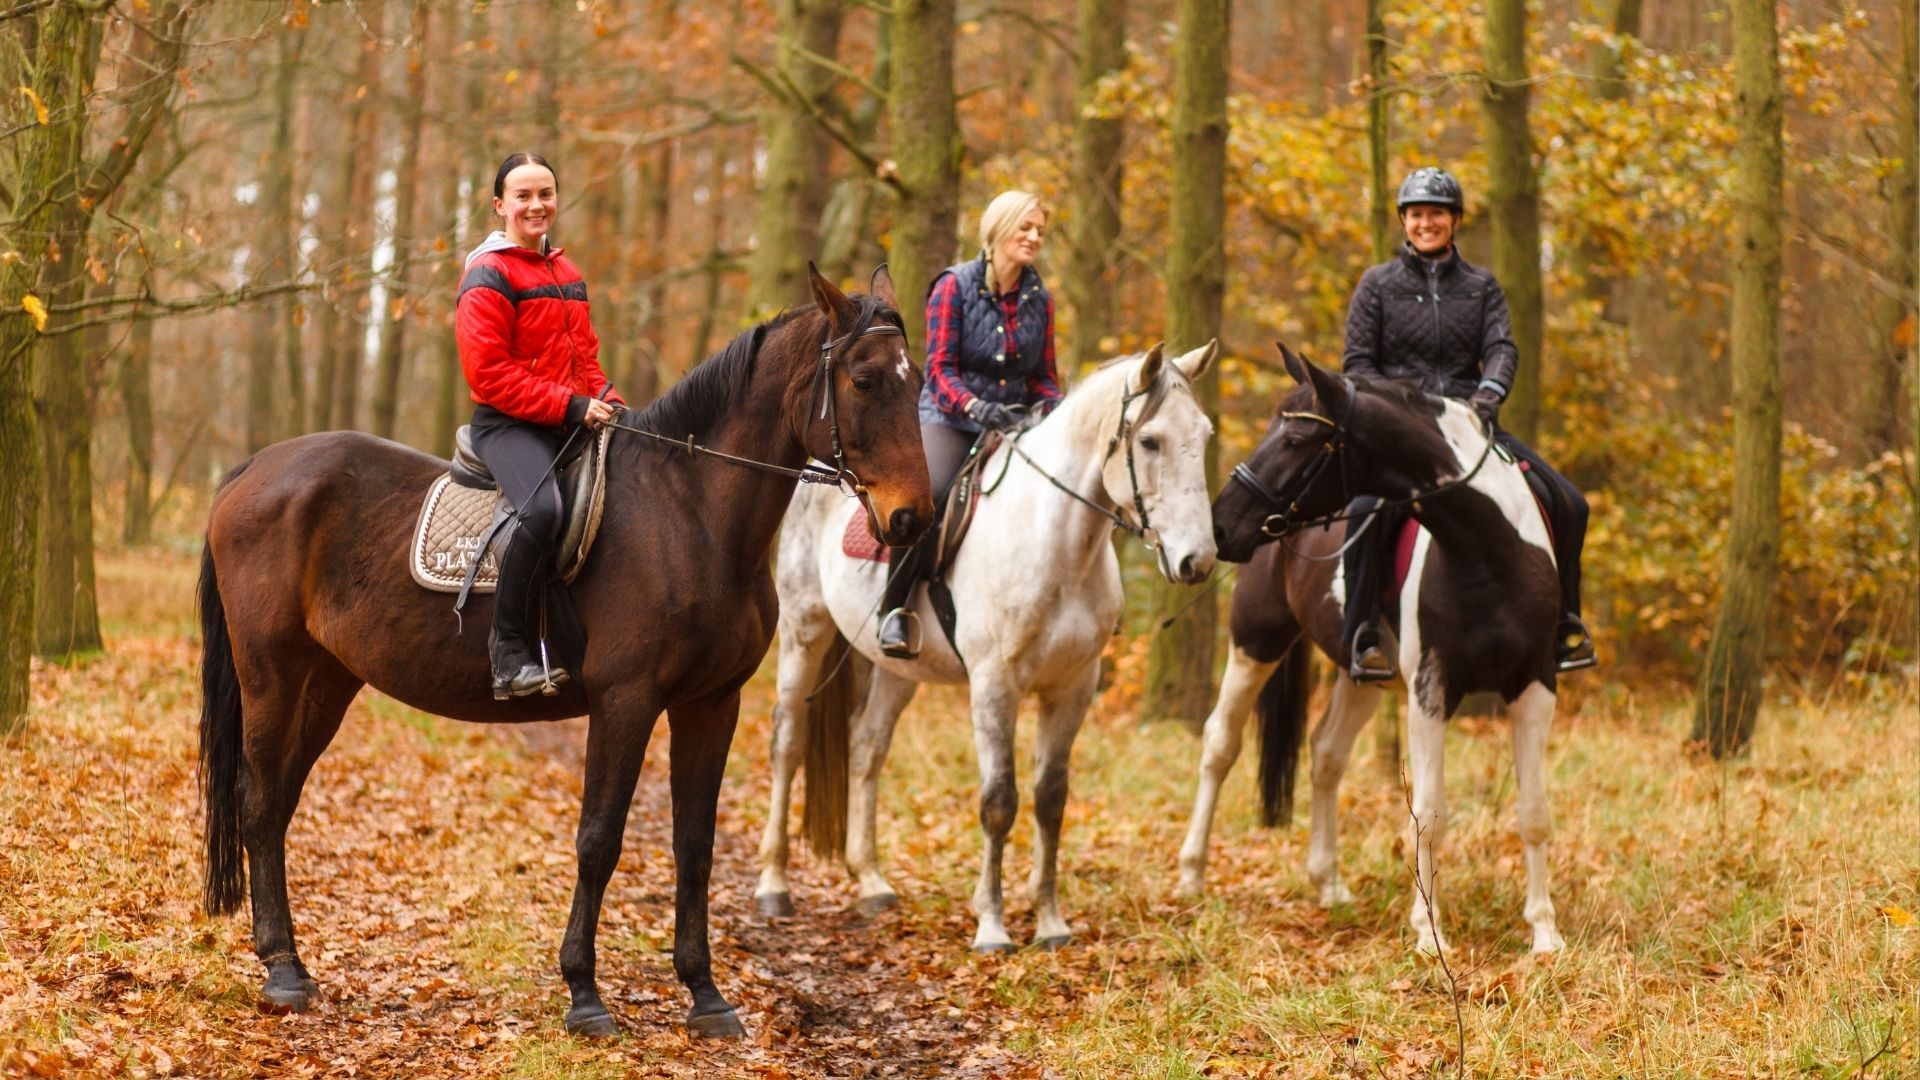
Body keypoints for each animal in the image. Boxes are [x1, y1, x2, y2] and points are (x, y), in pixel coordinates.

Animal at [197, 266, 934, 1039]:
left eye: (917, 382)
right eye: (863, 380)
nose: (912, 518)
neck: (692, 515)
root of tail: (253, 468)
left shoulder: (711, 705)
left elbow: (694, 846)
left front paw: (705, 995)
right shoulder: (626, 701)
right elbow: (598, 839)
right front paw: (584, 993)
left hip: (327, 681)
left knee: (277, 801)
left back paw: (291, 962)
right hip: (271, 675)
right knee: (257, 801)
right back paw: (281, 971)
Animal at [754, 341, 1220, 952]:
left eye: (1205, 436)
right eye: (1150, 441)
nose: (1198, 561)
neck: (1057, 544)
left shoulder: (1073, 687)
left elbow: (1050, 799)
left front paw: (1050, 922)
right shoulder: (995, 685)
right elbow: (1000, 802)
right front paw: (992, 926)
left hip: (896, 669)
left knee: (867, 749)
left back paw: (873, 884)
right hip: (805, 629)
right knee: (787, 741)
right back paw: (773, 886)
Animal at [1176, 344, 1565, 956]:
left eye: (1295, 440)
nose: (1216, 530)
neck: (1487, 553)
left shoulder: (1533, 686)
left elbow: (1534, 811)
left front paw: (1545, 932)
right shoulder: (1430, 691)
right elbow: (1429, 811)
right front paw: (1429, 934)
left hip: (1363, 675)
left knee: (1326, 754)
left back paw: (1328, 883)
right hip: (1257, 642)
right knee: (1220, 744)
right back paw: (1192, 874)